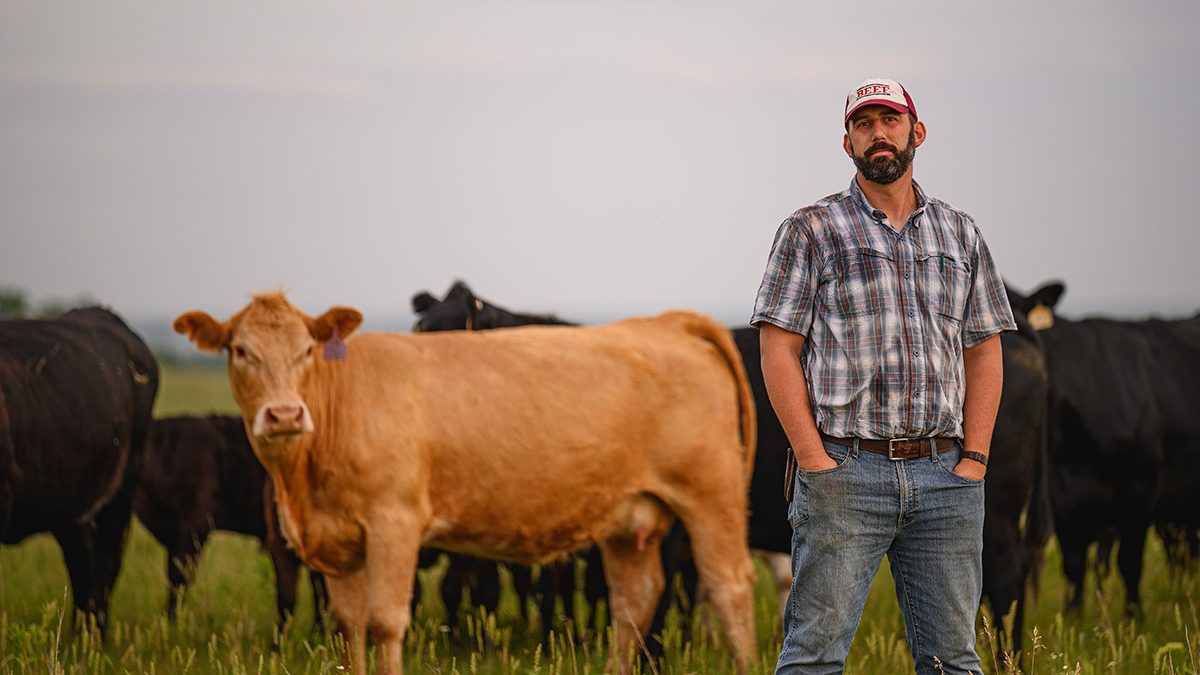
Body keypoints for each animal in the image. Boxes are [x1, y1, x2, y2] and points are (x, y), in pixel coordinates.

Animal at [174, 290, 753, 672]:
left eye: (308, 351)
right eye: (240, 351)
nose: (285, 415)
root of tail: (664, 322)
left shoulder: (395, 523)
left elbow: (385, 621)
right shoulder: (338, 541)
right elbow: (349, 626)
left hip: (711, 497)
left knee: (730, 588)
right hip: (628, 517)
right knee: (634, 600)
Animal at [410, 278, 1051, 658]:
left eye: (454, 336)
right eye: (418, 335)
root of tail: (1017, 339)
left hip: (994, 511)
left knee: (1005, 575)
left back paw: (1009, 657)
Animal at [1008, 278, 1200, 610]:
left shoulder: (1141, 489)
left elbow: (1130, 563)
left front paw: (1133, 618)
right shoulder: (1063, 499)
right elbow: (1074, 566)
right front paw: (1074, 617)